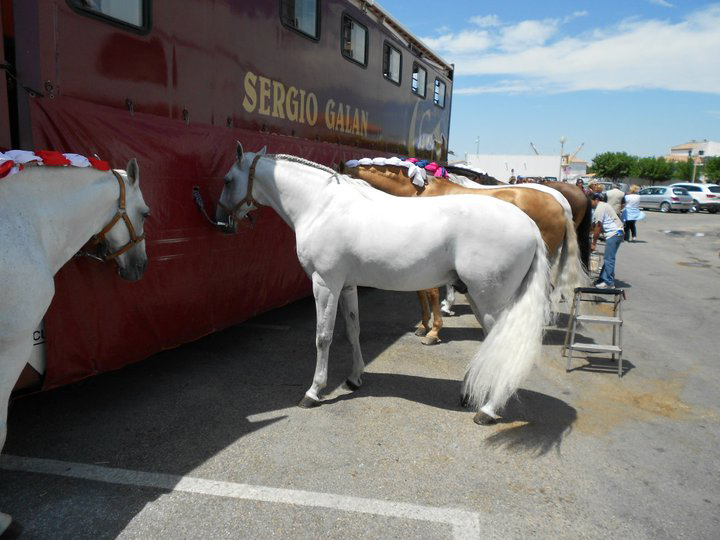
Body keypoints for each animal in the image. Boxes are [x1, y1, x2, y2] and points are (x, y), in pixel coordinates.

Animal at [217, 142, 548, 426]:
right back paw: (469, 395)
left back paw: (488, 410)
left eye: (228, 180)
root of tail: (530, 226)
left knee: (501, 345)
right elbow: (353, 330)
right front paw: (354, 379)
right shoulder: (347, 286)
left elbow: (323, 337)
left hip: (488, 301)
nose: (221, 221)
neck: (321, 207)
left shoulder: (325, 284)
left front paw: (314, 391)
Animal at [338, 161, 584, 346]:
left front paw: (433, 331)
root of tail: (560, 204)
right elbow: (421, 292)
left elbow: (431, 293)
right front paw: (424, 325)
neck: (418, 190)